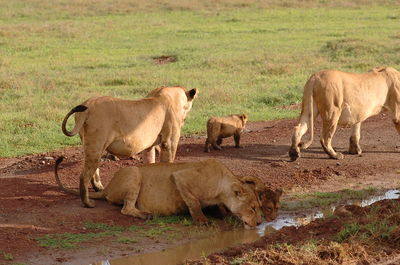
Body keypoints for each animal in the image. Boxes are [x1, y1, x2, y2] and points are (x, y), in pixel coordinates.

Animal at [54, 157, 264, 227]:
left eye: (259, 207)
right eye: (253, 208)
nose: (261, 223)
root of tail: (108, 187)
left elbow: (217, 208)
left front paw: (224, 214)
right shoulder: (180, 177)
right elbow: (194, 202)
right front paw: (202, 220)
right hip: (133, 172)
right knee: (126, 208)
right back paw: (145, 215)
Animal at [61, 85, 197, 207]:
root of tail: (87, 106)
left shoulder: (148, 147)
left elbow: (150, 162)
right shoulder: (169, 142)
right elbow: (168, 163)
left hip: (91, 145)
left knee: (93, 170)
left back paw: (98, 187)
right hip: (96, 144)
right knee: (83, 176)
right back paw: (88, 203)